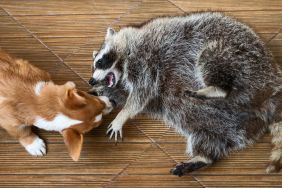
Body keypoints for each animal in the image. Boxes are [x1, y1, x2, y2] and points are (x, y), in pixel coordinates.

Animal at [88, 12, 282, 176]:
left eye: (100, 61)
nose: (91, 81)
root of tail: (272, 83)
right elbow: (126, 94)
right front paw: (101, 93)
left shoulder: (145, 60)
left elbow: (142, 92)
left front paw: (122, 116)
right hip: (216, 124)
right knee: (209, 139)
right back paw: (202, 158)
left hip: (239, 57)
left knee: (210, 58)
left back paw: (216, 89)